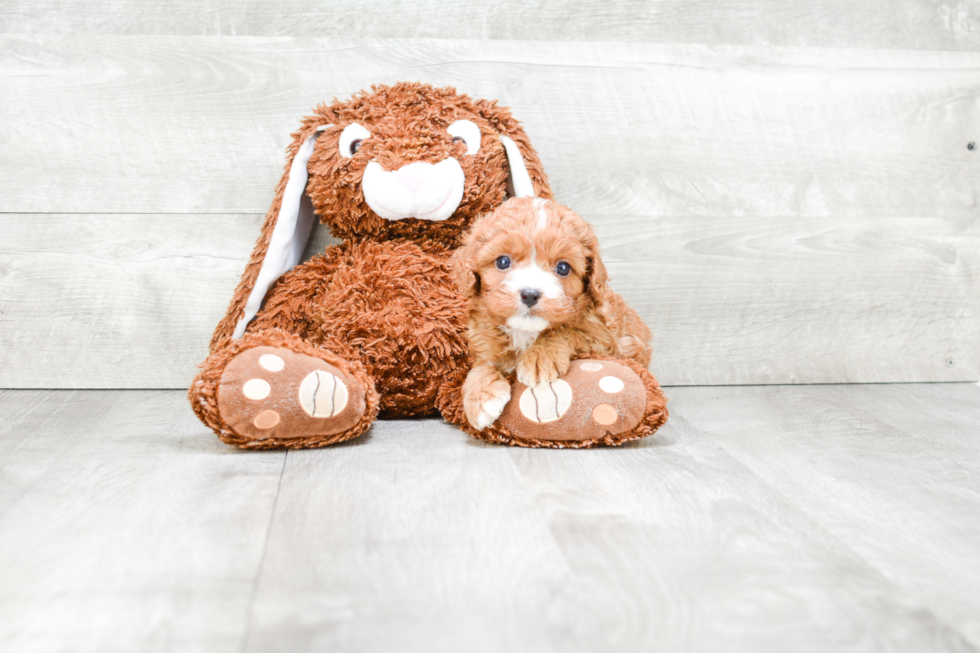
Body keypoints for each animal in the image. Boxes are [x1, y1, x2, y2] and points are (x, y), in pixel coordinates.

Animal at [456, 196, 656, 430]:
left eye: (563, 268)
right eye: (503, 261)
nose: (530, 294)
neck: (524, 332)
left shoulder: (604, 338)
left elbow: (567, 330)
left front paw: (540, 358)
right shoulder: (484, 342)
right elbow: (480, 367)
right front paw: (480, 398)